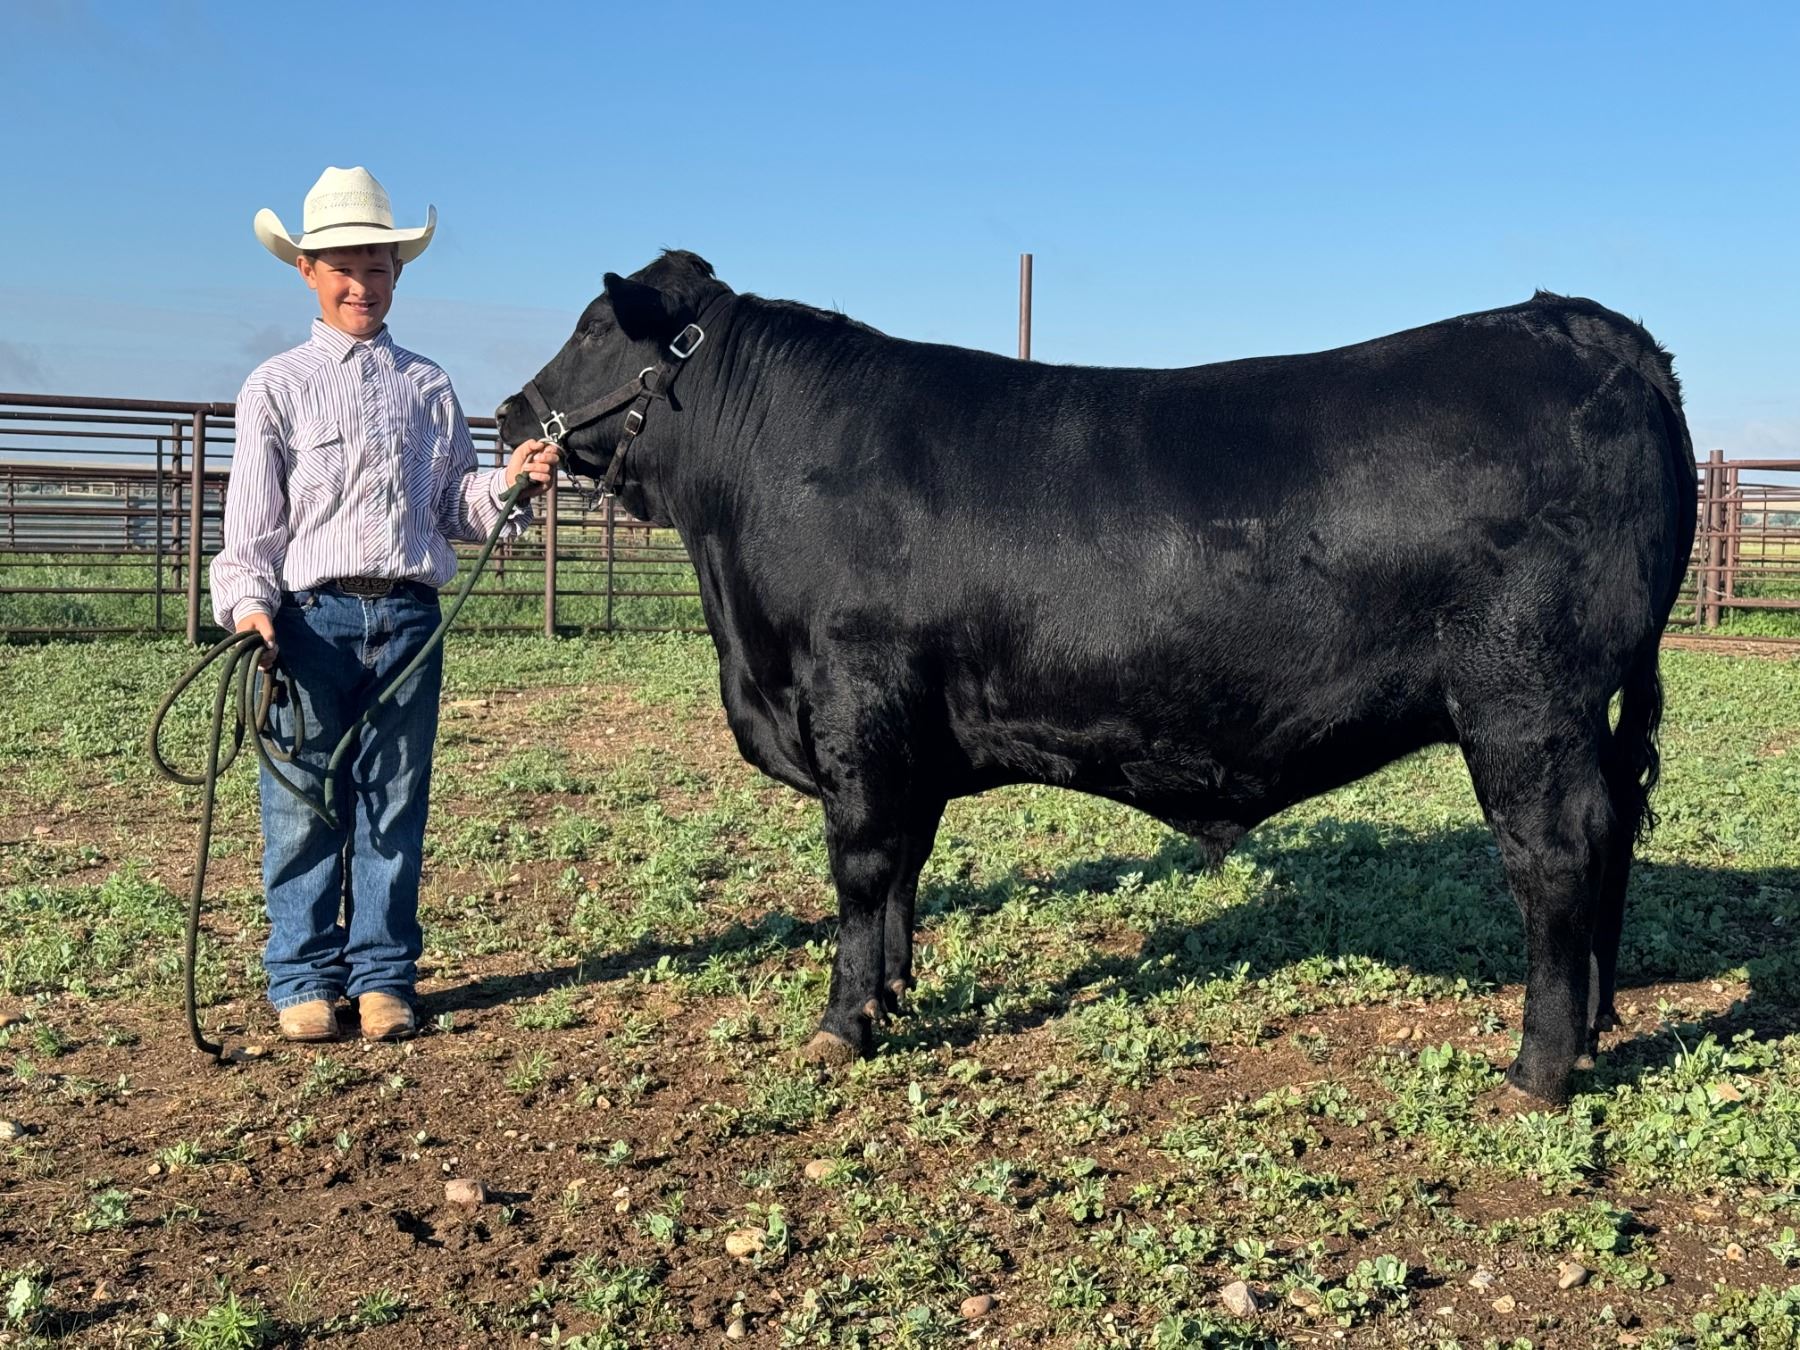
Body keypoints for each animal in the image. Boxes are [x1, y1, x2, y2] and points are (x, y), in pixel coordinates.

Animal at [498, 250, 1695, 1106]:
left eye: (596, 327)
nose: (510, 416)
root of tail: (1586, 323)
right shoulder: (907, 735)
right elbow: (907, 868)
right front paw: (894, 991)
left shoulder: (854, 702)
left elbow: (863, 865)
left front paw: (843, 1023)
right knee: (1609, 837)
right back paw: (1596, 1025)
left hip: (1524, 700)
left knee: (1555, 855)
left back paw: (1538, 1066)